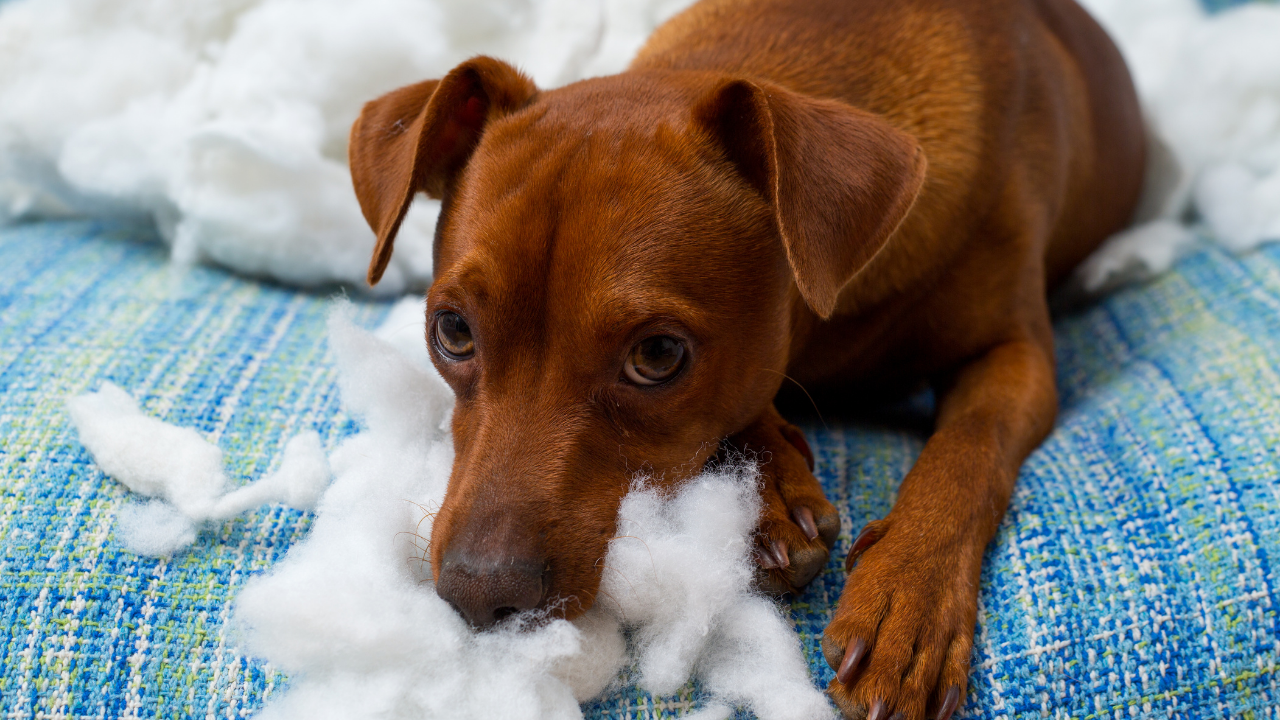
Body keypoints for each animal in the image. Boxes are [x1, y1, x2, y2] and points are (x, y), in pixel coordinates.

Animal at [346, 0, 1144, 716]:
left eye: (658, 355)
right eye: (452, 332)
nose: (480, 593)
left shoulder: (1018, 358)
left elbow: (966, 451)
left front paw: (908, 599)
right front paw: (769, 497)